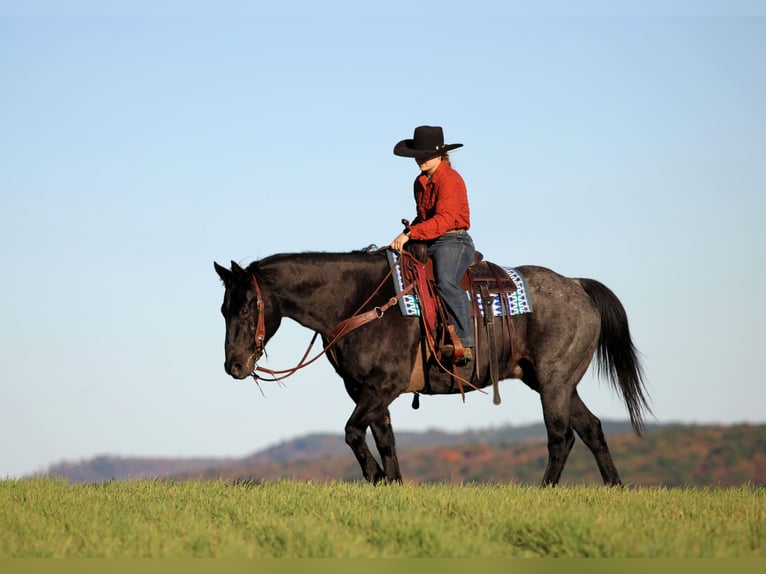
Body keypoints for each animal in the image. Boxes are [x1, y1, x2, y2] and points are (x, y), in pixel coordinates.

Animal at [214, 248, 650, 486]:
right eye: (223, 308)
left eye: (249, 306)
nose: (234, 365)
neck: (360, 303)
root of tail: (577, 286)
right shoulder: (366, 391)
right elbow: (384, 440)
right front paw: (391, 483)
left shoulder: (383, 387)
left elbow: (353, 432)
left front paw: (376, 478)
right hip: (556, 383)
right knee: (591, 429)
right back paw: (615, 487)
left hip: (554, 382)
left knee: (561, 436)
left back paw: (545, 490)